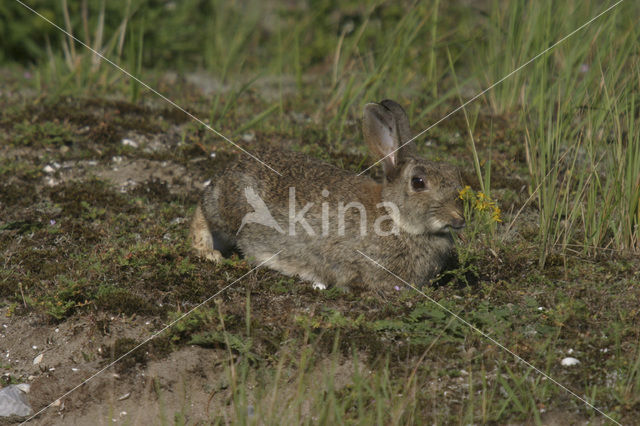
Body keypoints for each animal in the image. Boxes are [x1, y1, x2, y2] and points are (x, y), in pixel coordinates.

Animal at [190, 100, 464, 292]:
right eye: (418, 182)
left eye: (454, 173)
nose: (459, 219)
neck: (395, 217)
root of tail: (227, 171)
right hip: (231, 210)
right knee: (203, 212)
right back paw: (208, 252)